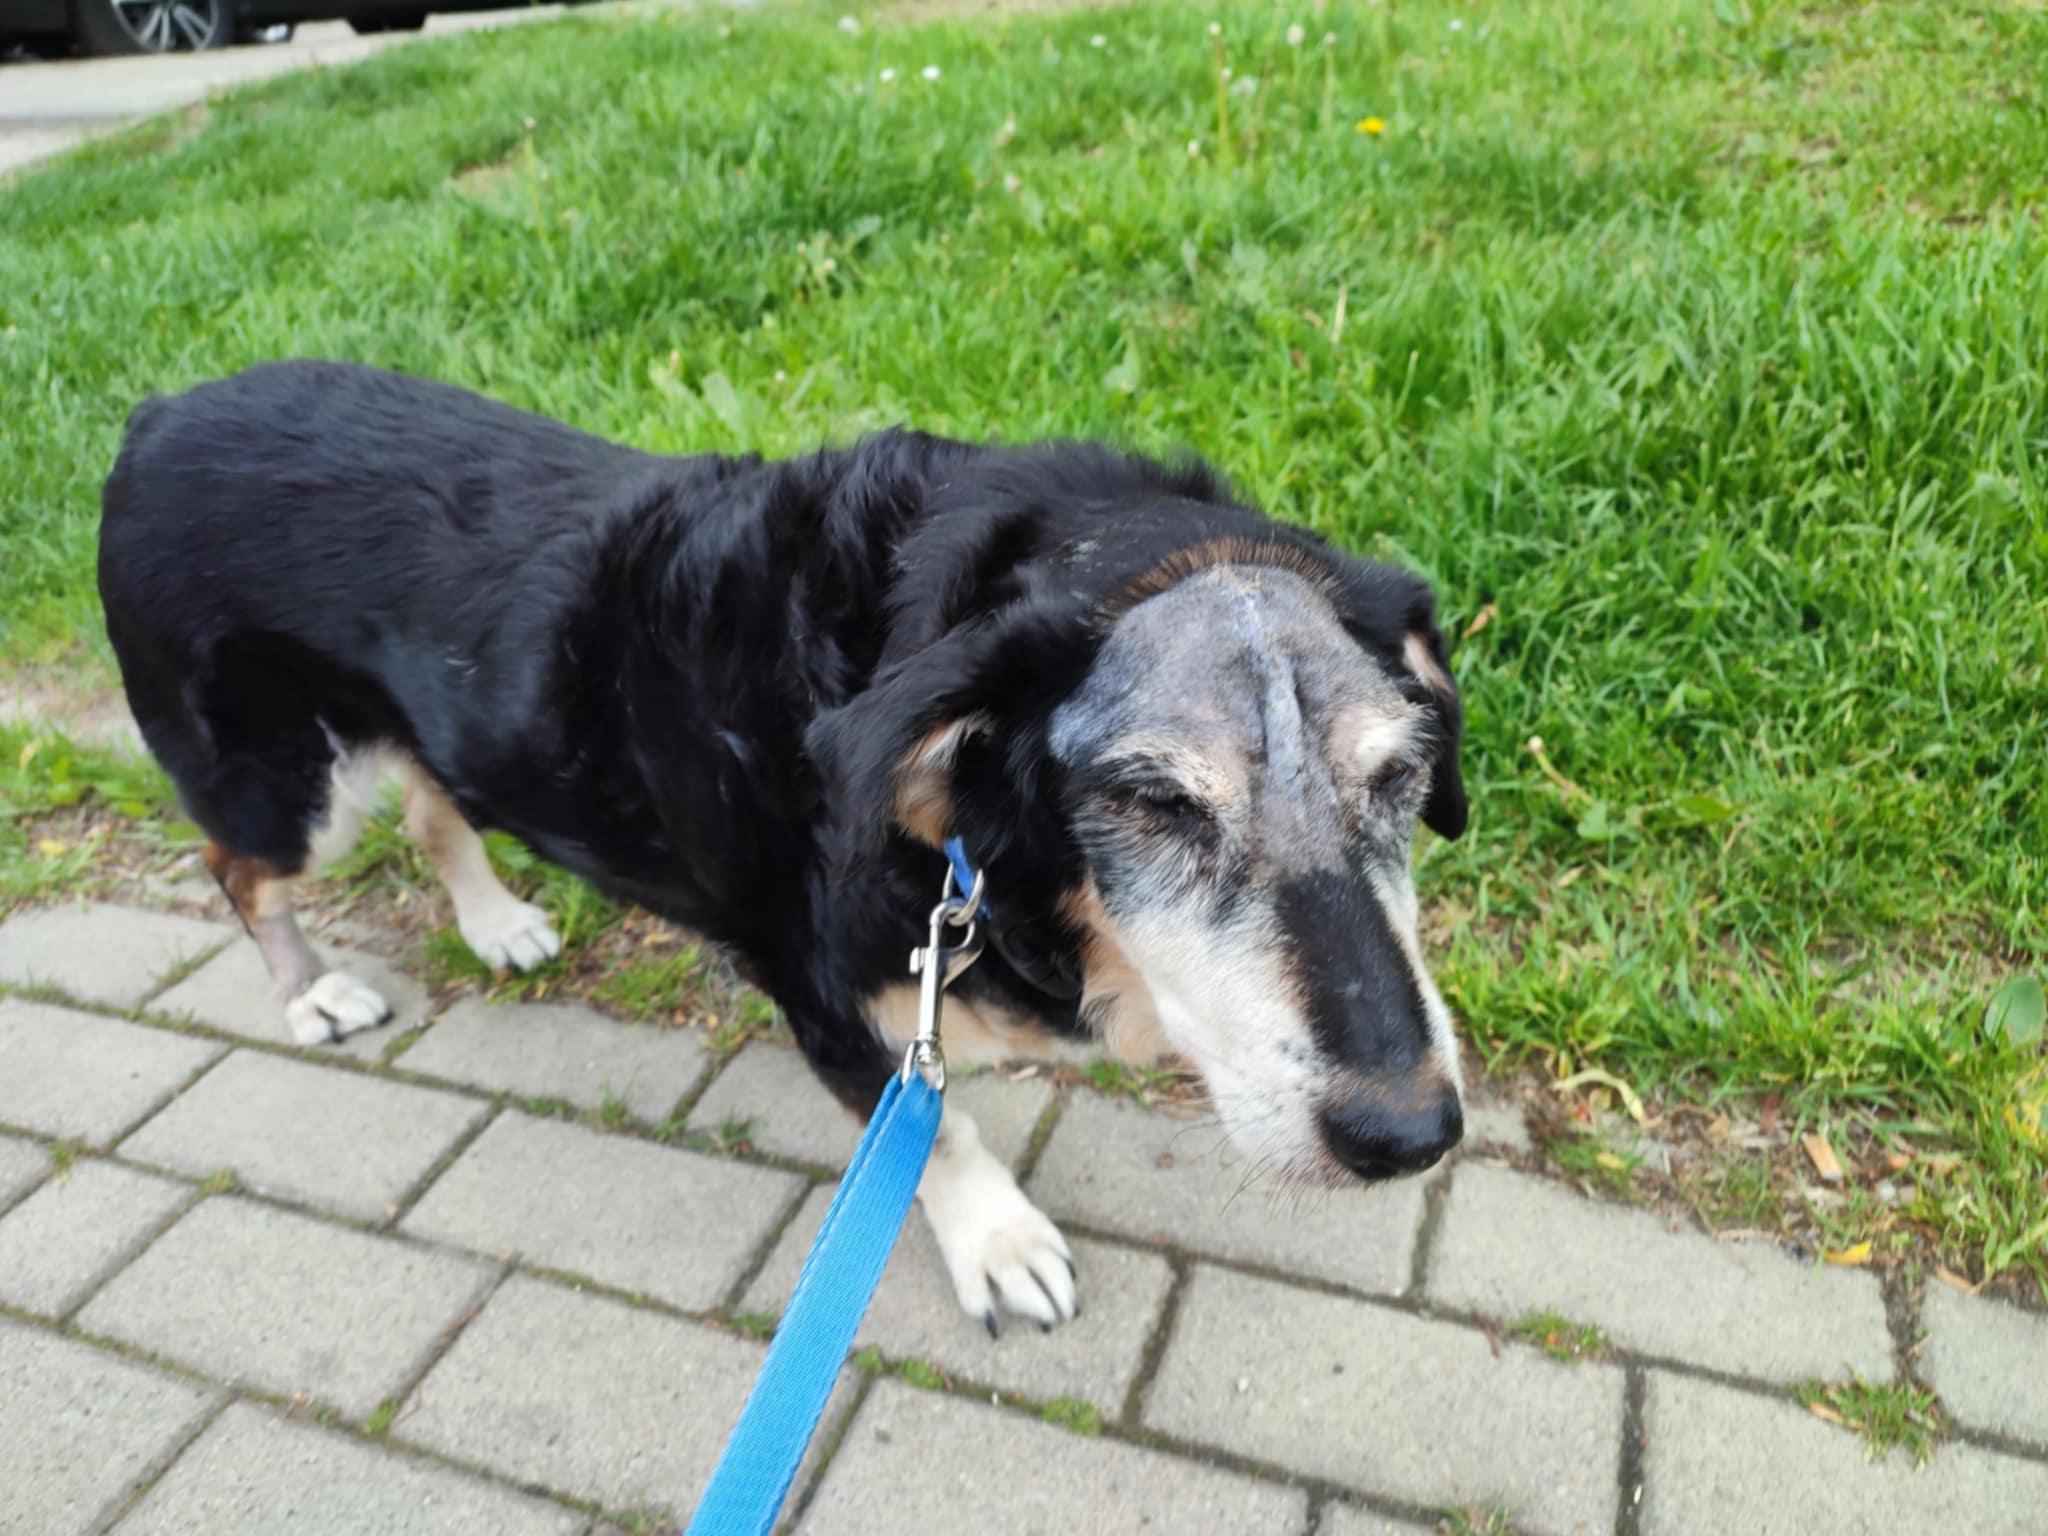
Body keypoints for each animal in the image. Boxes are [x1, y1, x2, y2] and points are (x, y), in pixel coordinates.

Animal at [99, 360, 1470, 1332]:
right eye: (1153, 802)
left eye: (1399, 777)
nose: (1407, 1136)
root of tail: (153, 417)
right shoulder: (832, 1013)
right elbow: (941, 1138)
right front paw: (999, 1245)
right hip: (291, 788)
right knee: (238, 870)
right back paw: (311, 994)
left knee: (436, 800)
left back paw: (492, 921)